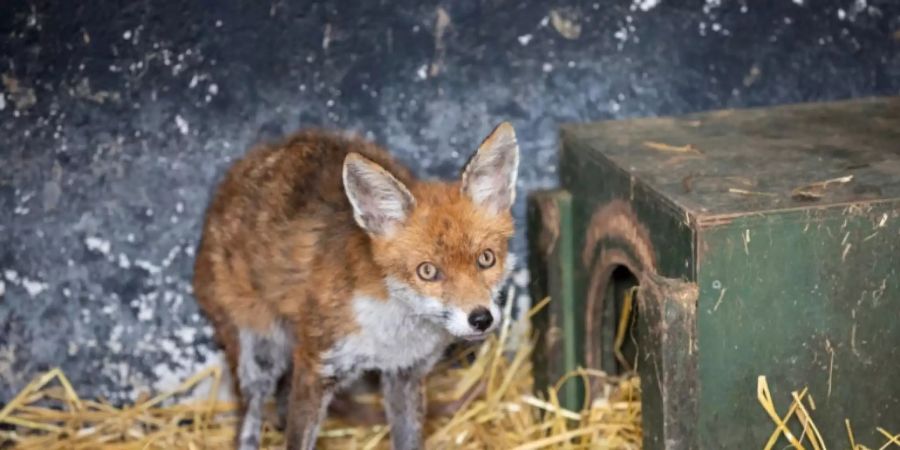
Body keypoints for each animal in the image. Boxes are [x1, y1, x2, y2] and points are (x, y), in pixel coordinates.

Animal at [193, 120, 520, 450]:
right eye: (428, 271)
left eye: (486, 259)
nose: (481, 319)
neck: (390, 331)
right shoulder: (316, 367)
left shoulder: (405, 373)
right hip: (261, 354)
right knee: (251, 414)